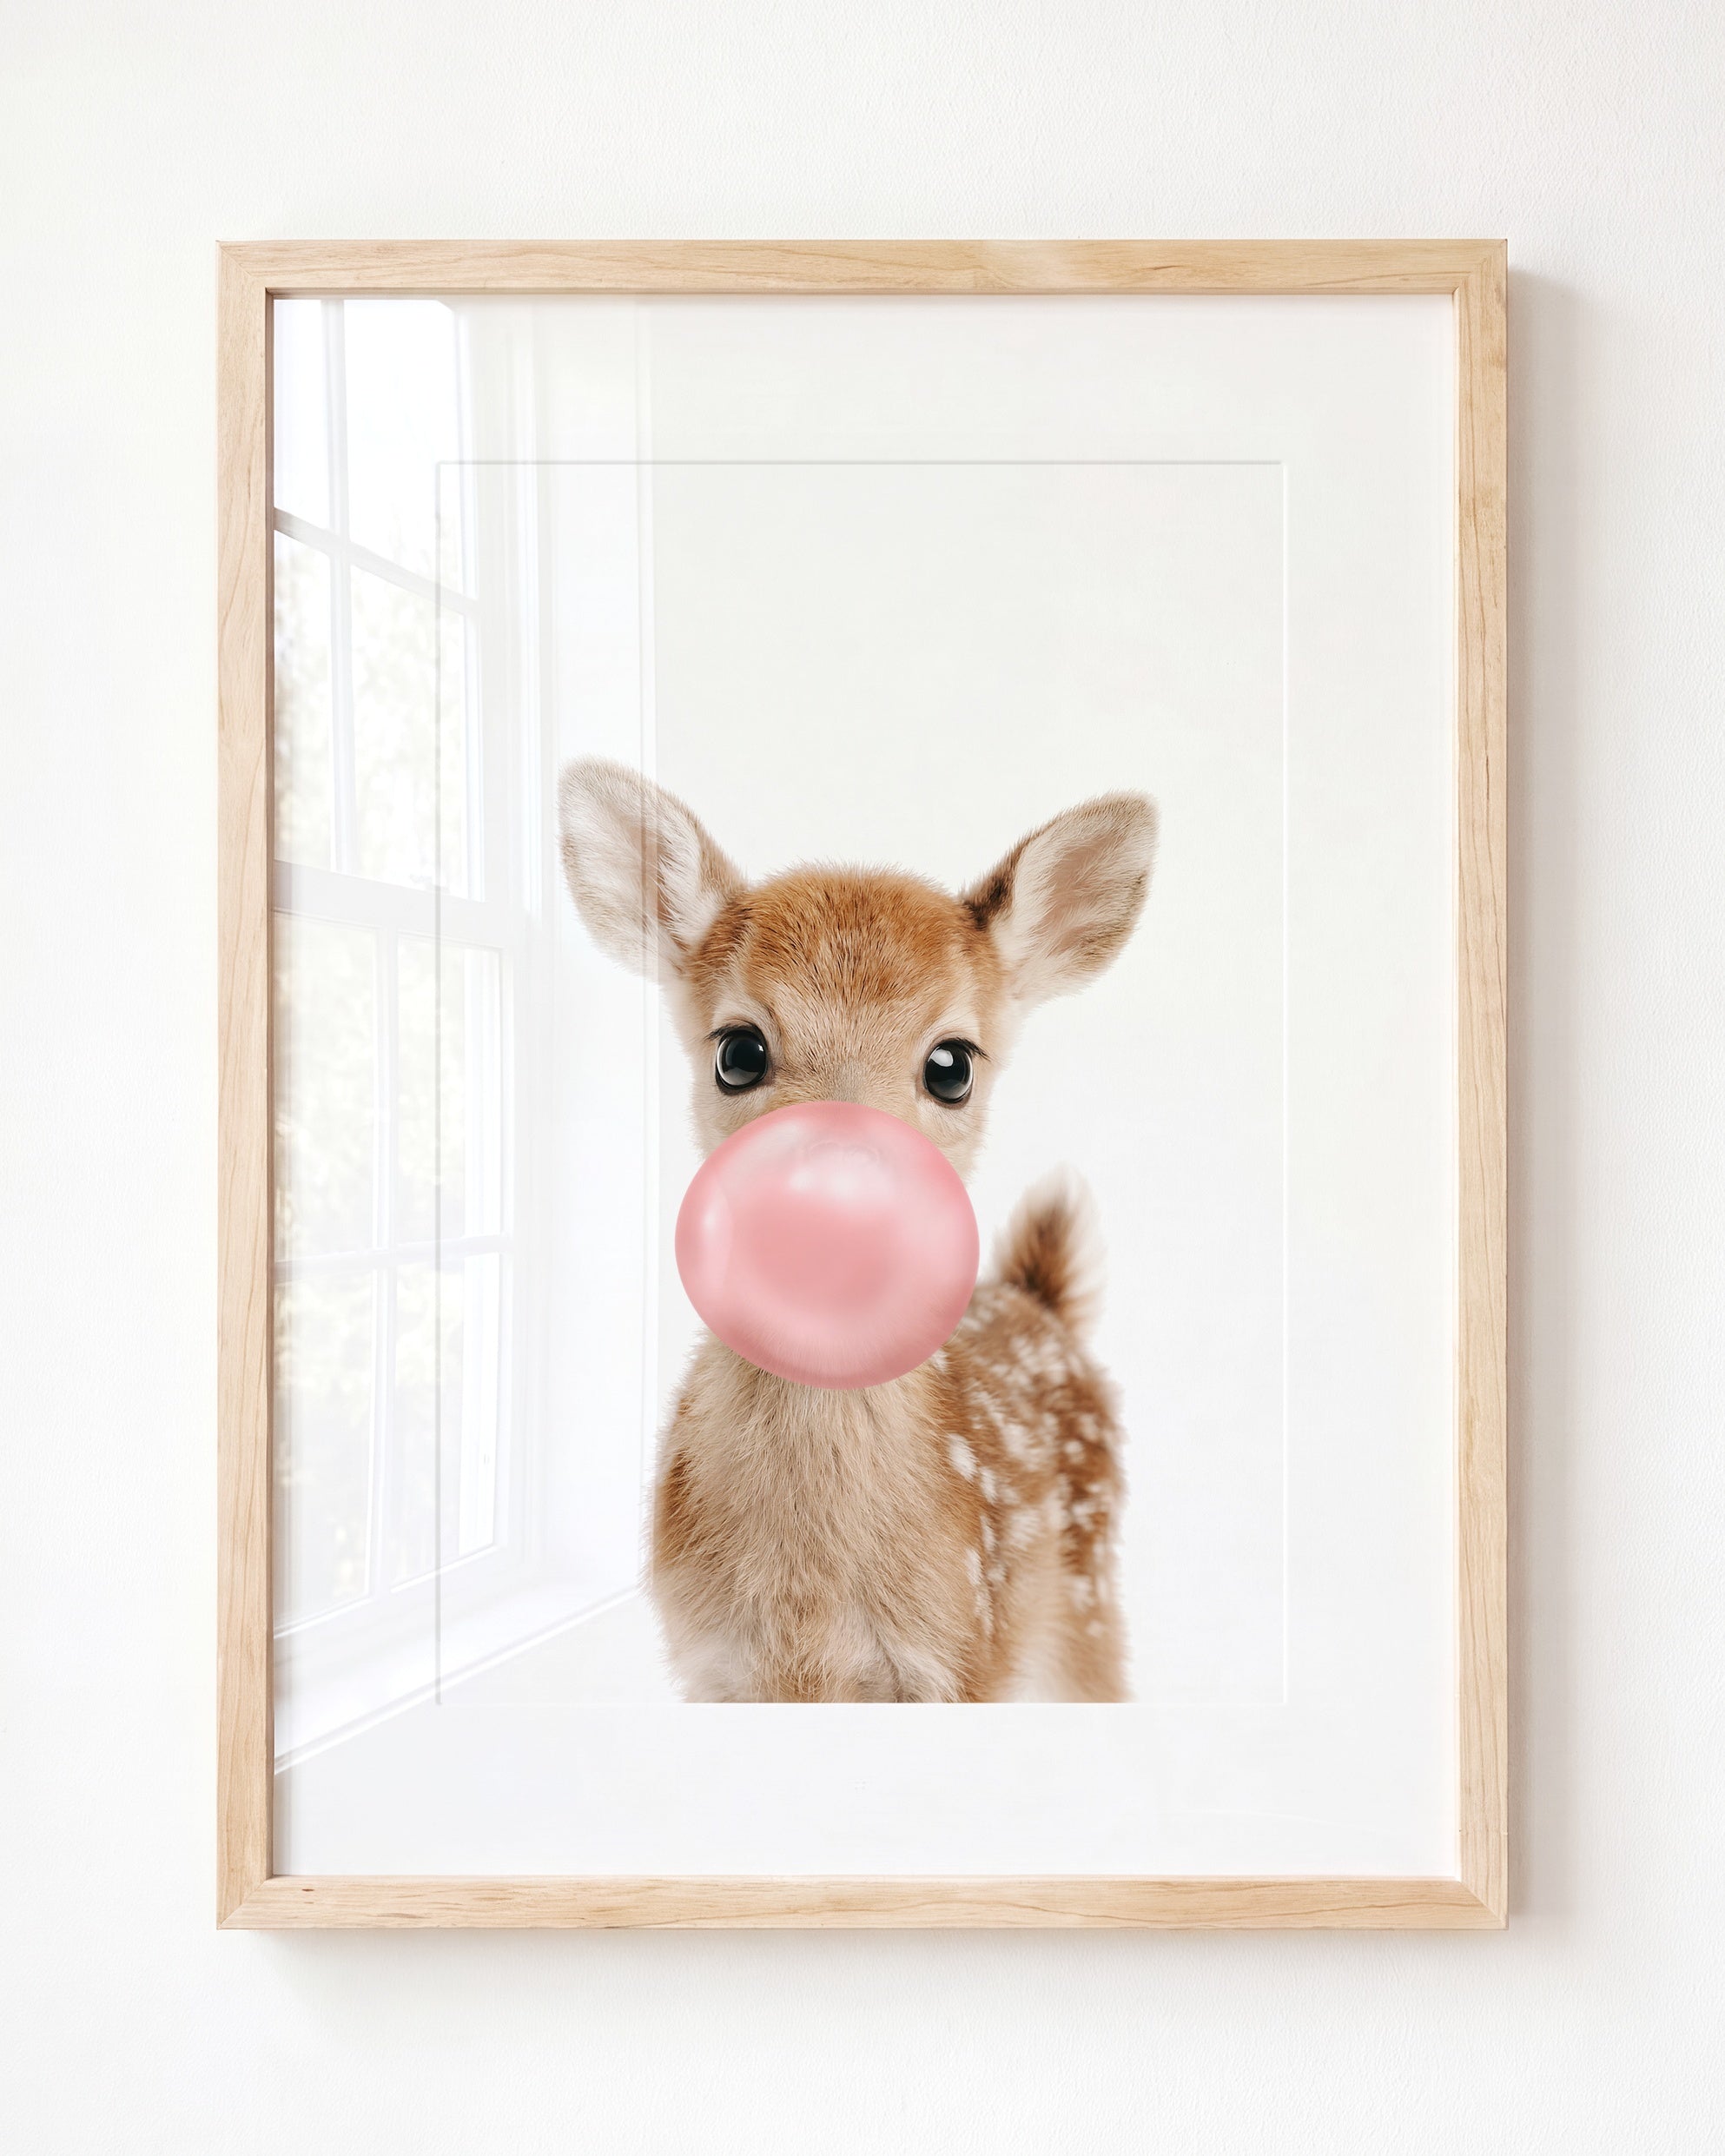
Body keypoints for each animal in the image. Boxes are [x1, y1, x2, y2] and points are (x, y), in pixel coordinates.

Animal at [558, 758, 1157, 1702]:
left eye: (952, 1065)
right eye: (738, 1051)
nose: (839, 1193)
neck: (811, 1612)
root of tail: (1042, 1302)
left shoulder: (961, 1655)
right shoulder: (712, 1666)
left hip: (1086, 1606)